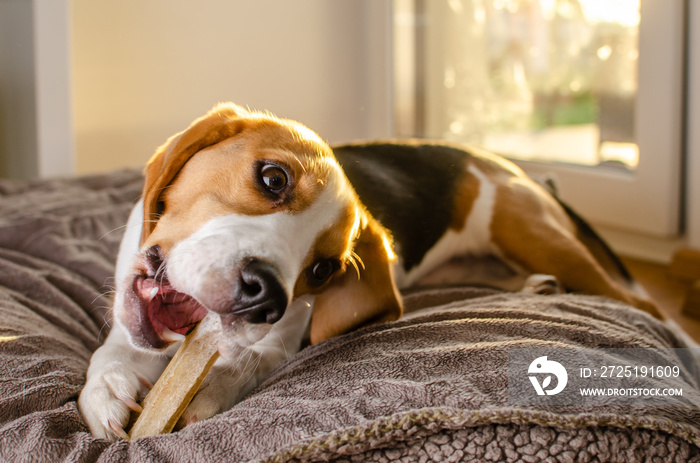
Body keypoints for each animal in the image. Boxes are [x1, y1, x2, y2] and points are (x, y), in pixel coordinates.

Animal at [79, 103, 660, 440]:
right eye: (273, 178)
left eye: (322, 270)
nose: (266, 296)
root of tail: (507, 163)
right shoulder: (129, 318)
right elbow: (111, 354)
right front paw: (106, 388)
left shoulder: (280, 342)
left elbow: (247, 360)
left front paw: (208, 391)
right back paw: (536, 287)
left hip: (535, 235)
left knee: (641, 303)